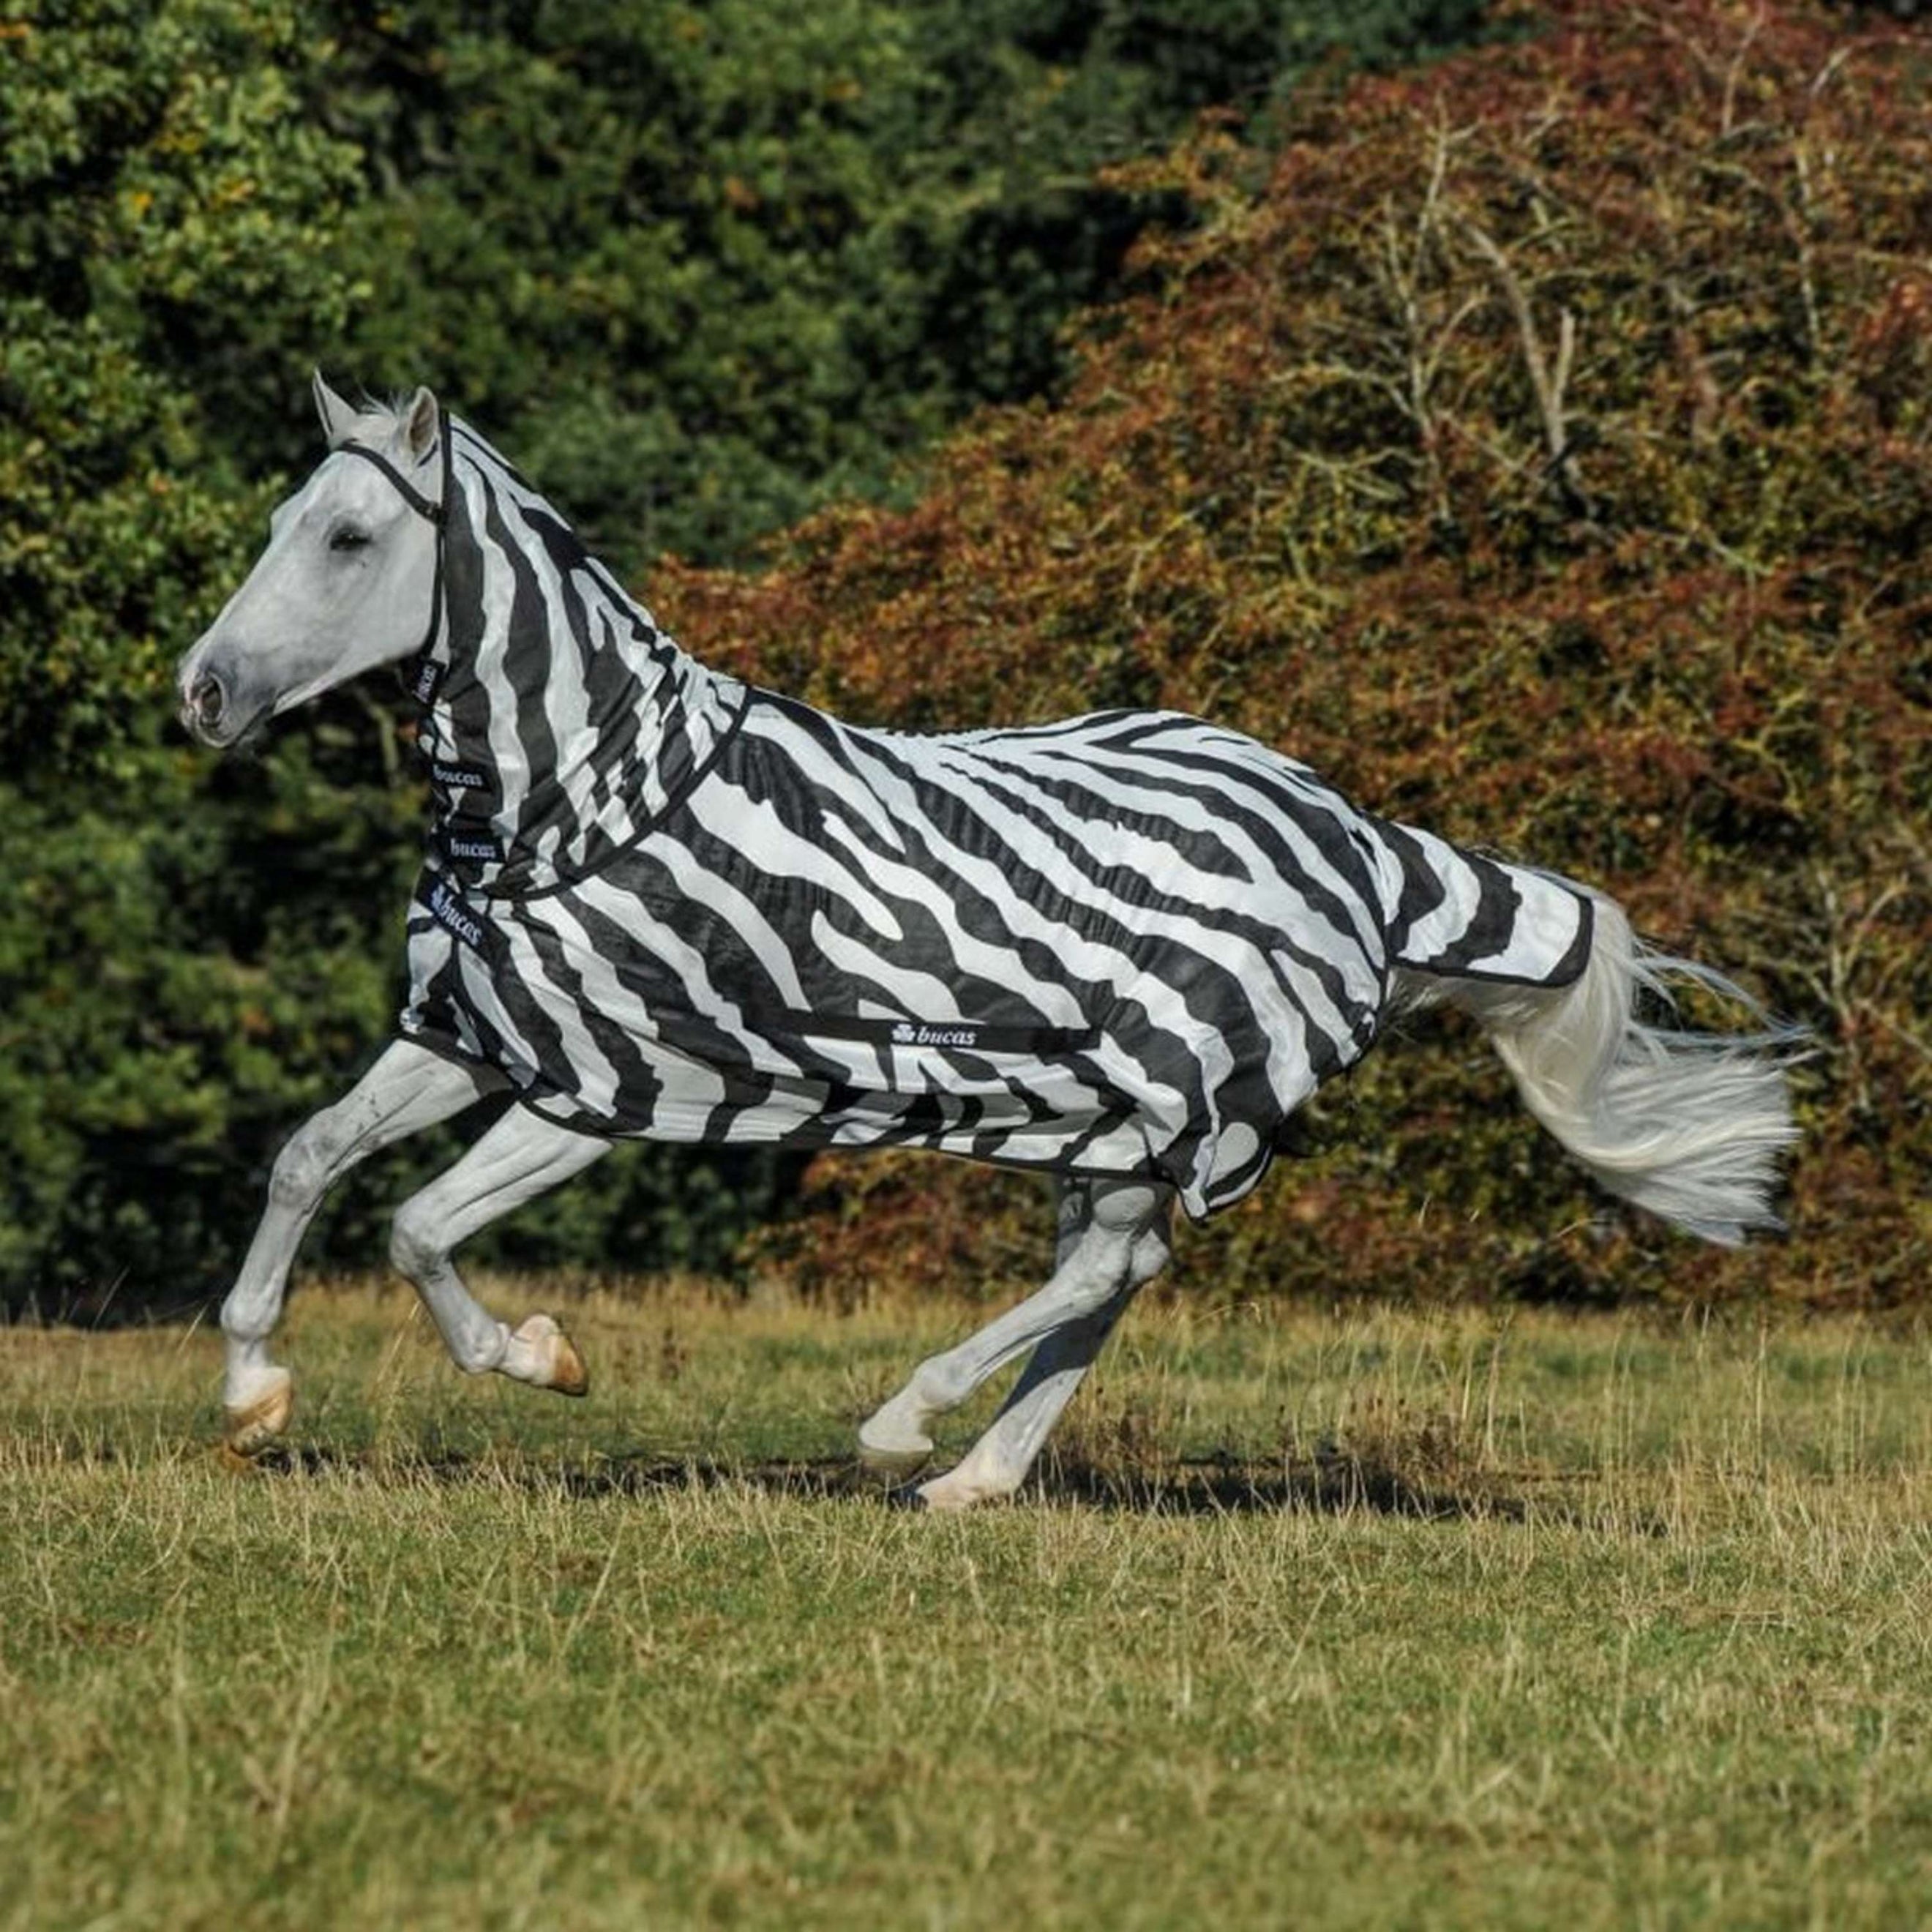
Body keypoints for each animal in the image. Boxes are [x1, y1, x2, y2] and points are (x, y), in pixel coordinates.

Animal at [175, 377, 1797, 1510]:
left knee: (1105, 1270)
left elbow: (415, 1226)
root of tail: (1362, 841)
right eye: (275, 524)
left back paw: (907, 1428)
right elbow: (310, 1162)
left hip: (1173, 1096)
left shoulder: (611, 1084)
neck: (580, 794)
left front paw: (540, 1358)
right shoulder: (471, 1036)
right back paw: (975, 1477)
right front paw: (253, 1393)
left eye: (349, 537)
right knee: (1119, 1273)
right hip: (1117, 1116)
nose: (202, 692)